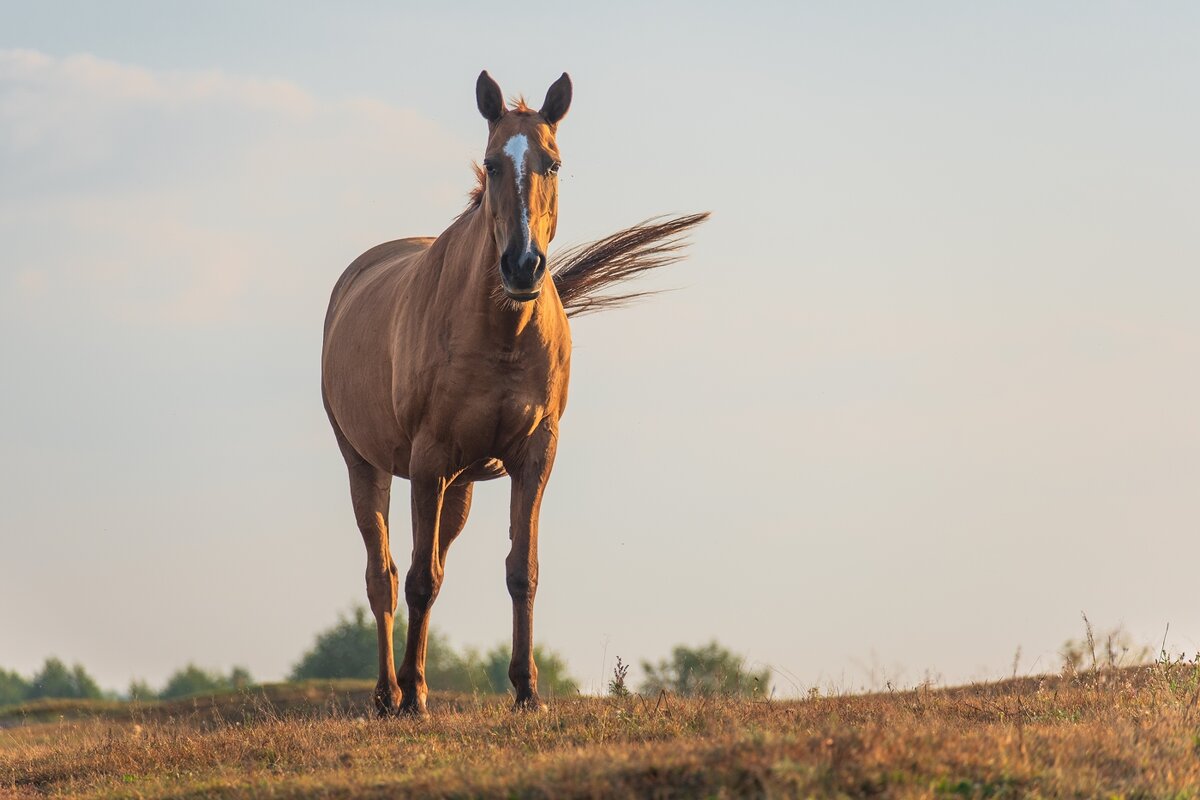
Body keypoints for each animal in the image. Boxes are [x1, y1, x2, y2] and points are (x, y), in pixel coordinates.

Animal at [324, 71, 705, 714]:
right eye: (492, 162)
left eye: (553, 162)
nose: (523, 265)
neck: (500, 333)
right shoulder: (427, 459)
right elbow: (417, 579)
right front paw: (415, 698)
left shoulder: (534, 454)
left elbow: (520, 570)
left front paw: (527, 690)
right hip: (366, 465)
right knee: (385, 577)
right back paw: (389, 693)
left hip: (457, 487)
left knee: (430, 566)